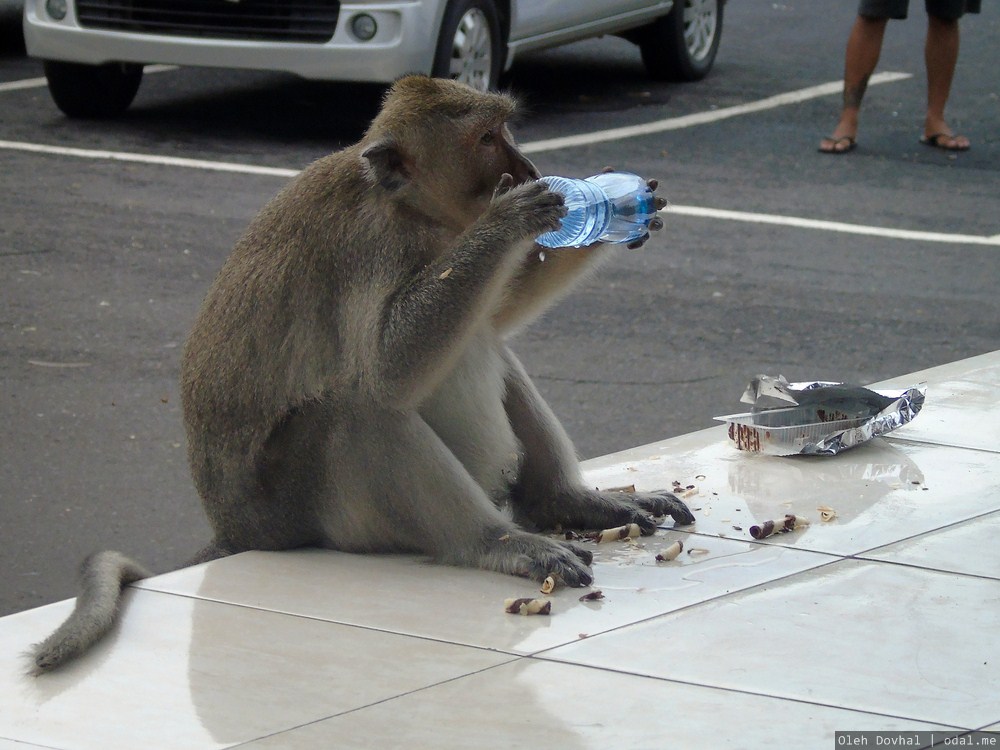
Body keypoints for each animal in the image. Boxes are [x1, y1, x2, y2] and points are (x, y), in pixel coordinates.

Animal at [29, 75, 688, 676]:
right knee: (354, 409)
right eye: (486, 138)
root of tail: (241, 530)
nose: (527, 166)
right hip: (305, 510)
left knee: (486, 342)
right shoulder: (370, 247)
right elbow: (387, 370)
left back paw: (566, 501)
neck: (410, 210)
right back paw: (493, 543)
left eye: (507, 130)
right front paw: (515, 217)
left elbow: (494, 312)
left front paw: (614, 201)